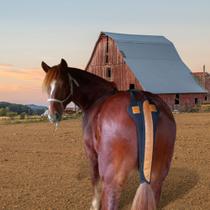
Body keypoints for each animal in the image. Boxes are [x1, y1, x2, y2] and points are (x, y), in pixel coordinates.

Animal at [41, 58, 176, 209]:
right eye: (48, 87)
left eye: (63, 84)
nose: (53, 115)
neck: (97, 98)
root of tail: (143, 101)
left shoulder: (92, 153)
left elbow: (95, 180)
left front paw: (94, 205)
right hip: (157, 175)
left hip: (113, 178)